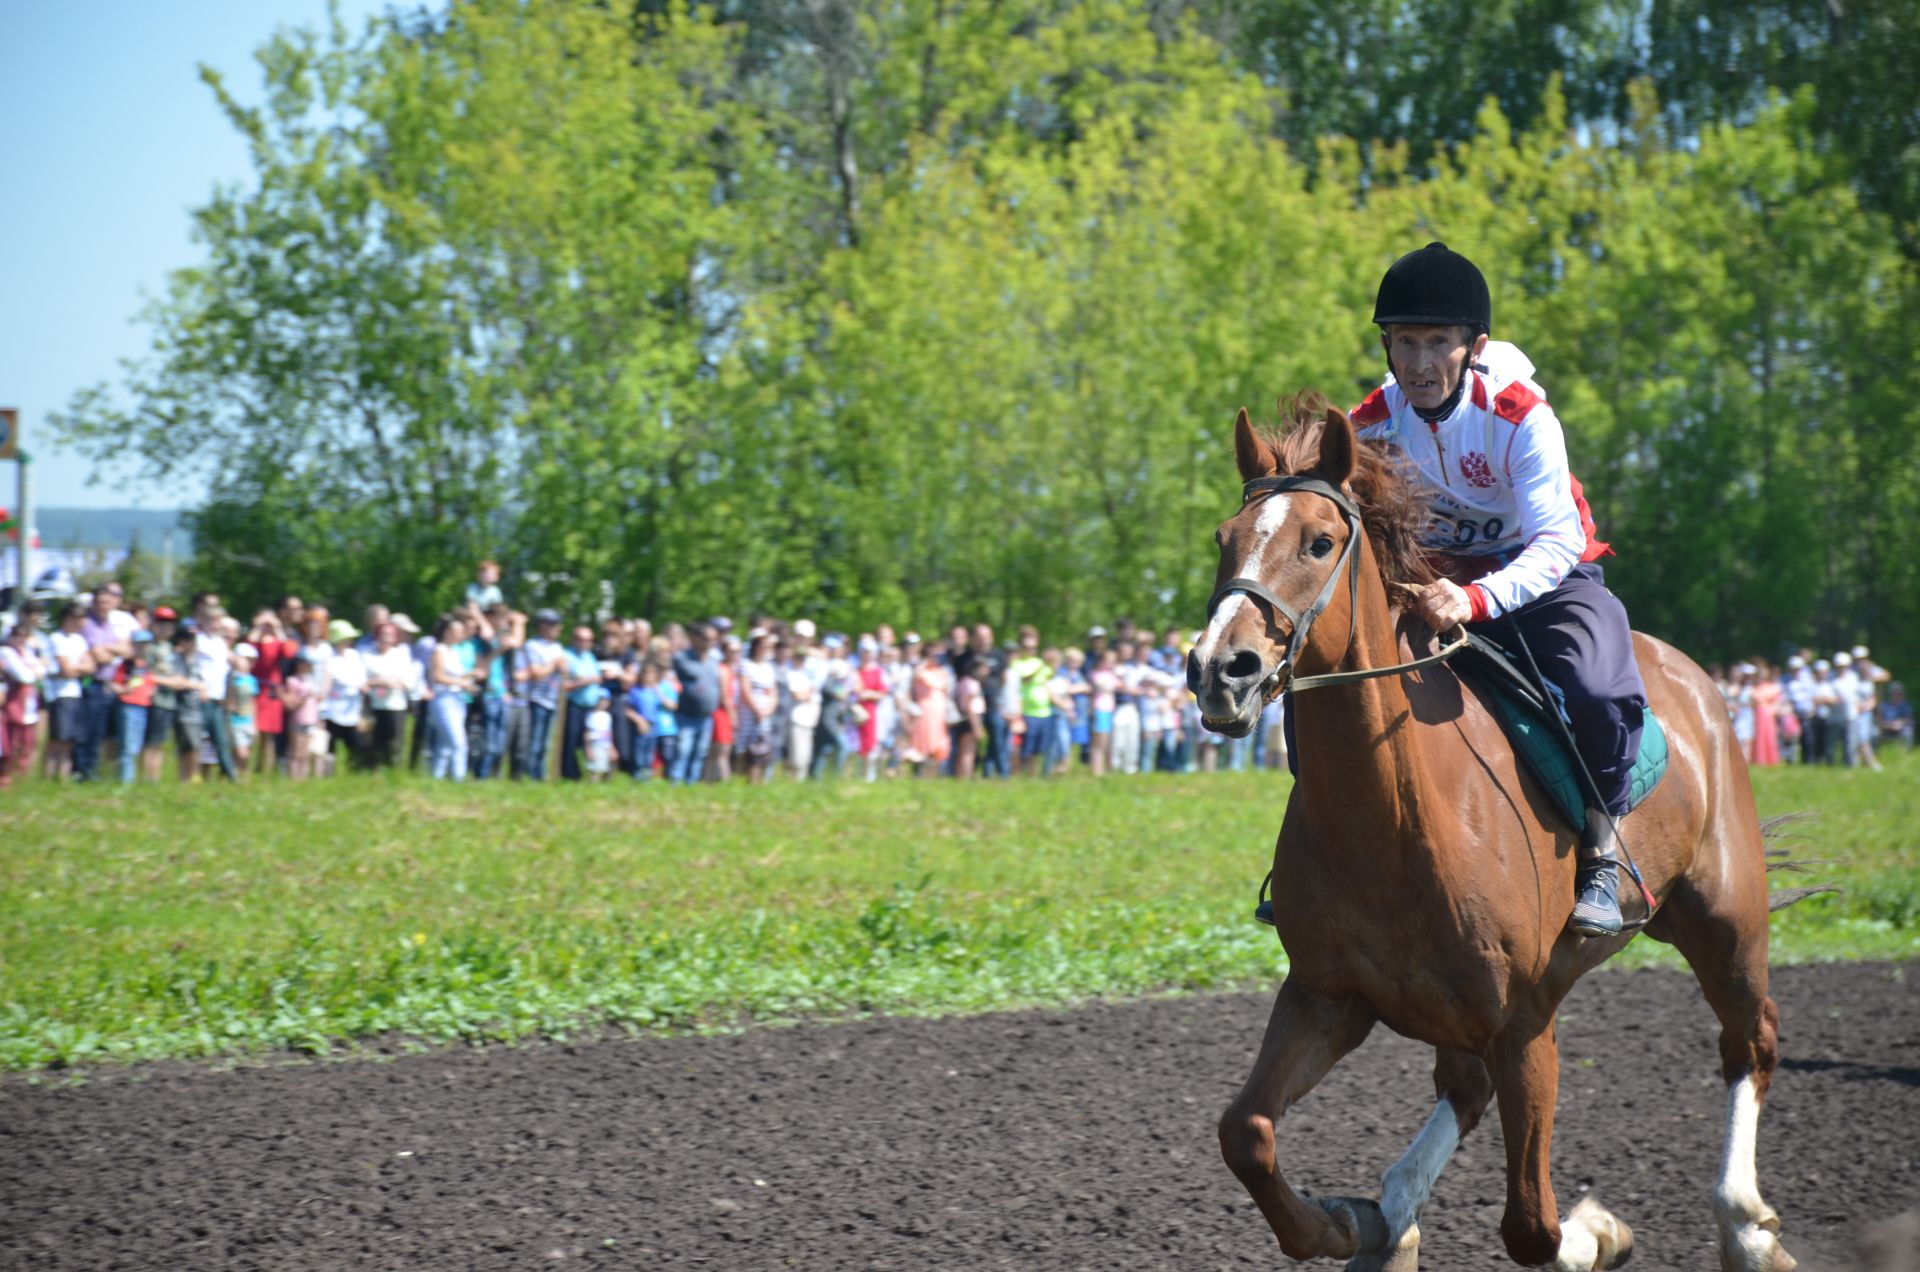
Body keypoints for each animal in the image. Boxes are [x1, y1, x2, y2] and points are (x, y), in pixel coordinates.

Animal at [1190, 401, 1789, 1272]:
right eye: (1224, 537)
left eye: (1319, 542)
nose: (1218, 669)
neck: (1392, 825)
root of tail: (1700, 683)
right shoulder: (1326, 997)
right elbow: (1248, 1134)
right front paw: (1350, 1223)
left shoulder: (1525, 1022)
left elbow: (1533, 1227)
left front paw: (1598, 1232)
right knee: (1461, 1093)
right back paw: (1393, 1211)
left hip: (1725, 922)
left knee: (1750, 1044)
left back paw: (1744, 1225)